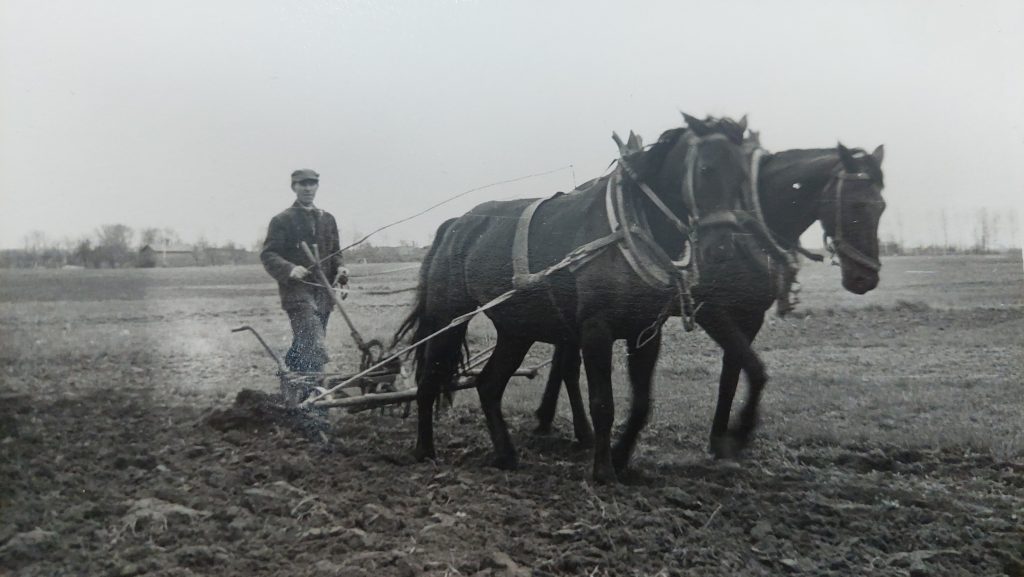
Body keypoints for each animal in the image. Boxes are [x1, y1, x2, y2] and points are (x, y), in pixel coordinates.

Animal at [393, 114, 774, 483]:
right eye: (707, 168)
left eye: (744, 175)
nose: (723, 247)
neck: (628, 229)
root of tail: (456, 224)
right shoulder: (596, 330)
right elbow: (603, 403)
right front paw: (603, 470)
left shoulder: (645, 333)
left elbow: (641, 405)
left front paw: (622, 459)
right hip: (448, 317)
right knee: (429, 381)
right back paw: (424, 449)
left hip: (517, 330)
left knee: (488, 385)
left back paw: (505, 455)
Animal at [536, 133, 888, 459]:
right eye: (856, 205)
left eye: (881, 207)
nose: (866, 278)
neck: (746, 235)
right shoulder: (711, 311)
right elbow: (754, 369)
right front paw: (739, 432)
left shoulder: (751, 316)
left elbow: (732, 374)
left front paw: (719, 438)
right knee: (568, 365)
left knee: (563, 362)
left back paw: (549, 419)